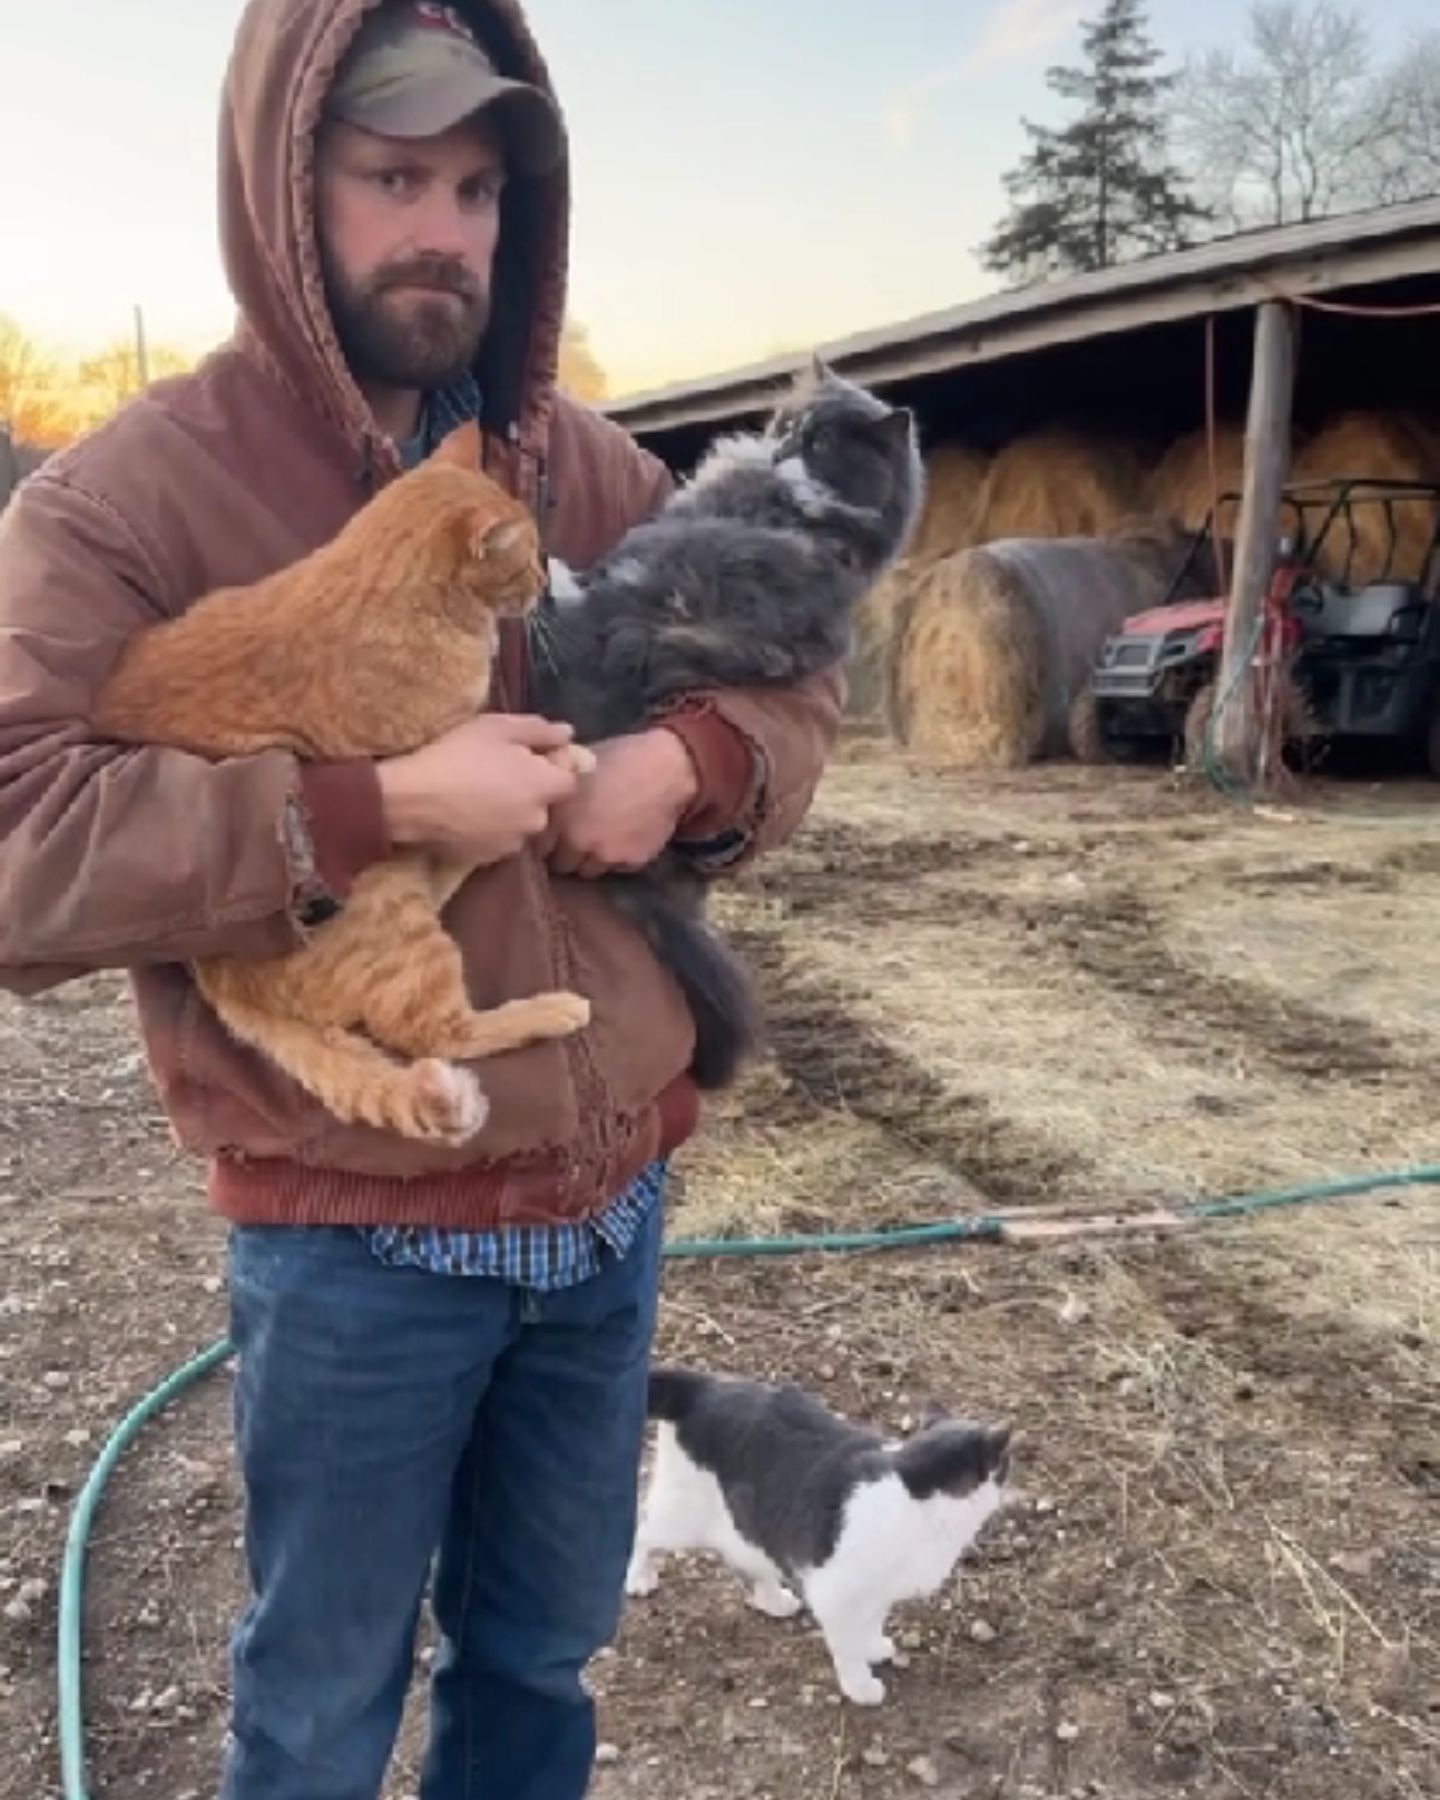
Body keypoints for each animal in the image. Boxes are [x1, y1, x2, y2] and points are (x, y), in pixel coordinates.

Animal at [90, 424, 590, 1137]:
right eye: (524, 561)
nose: (544, 583)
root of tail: (217, 977)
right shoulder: (447, 740)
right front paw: (558, 754)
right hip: (391, 913)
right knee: (438, 1030)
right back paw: (551, 1005)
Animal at [529, 351, 921, 1080]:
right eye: (788, 425)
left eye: (823, 445)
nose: (784, 449)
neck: (818, 522)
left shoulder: (671, 549)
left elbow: (604, 574)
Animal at [626, 1368, 1015, 1706]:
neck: (912, 1487)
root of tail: (705, 1385)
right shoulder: (836, 1595)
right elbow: (846, 1644)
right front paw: (860, 1684)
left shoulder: (879, 1590)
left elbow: (872, 1619)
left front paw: (872, 1645)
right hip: (682, 1518)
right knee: (642, 1533)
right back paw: (638, 1578)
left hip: (749, 1522)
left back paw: (774, 1601)